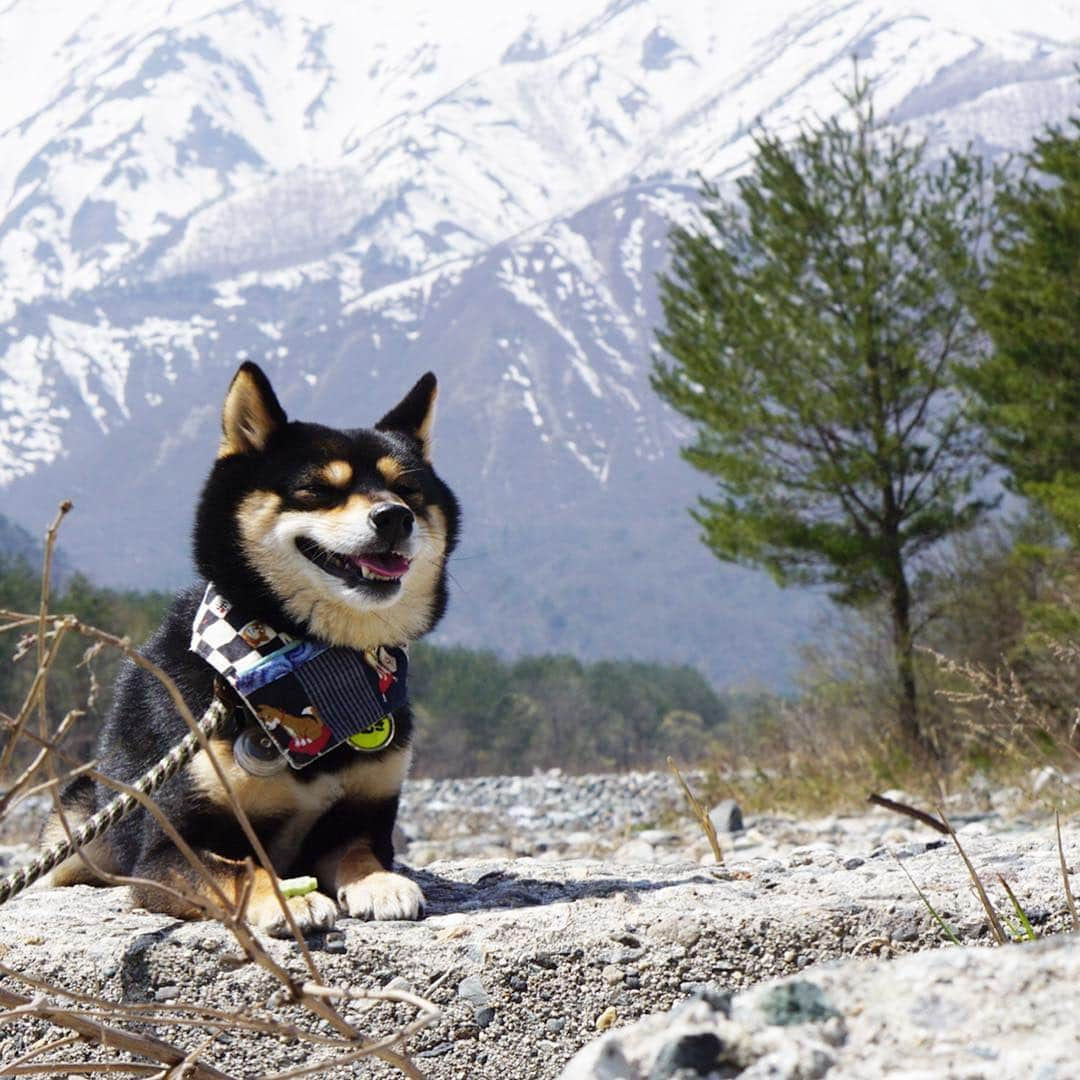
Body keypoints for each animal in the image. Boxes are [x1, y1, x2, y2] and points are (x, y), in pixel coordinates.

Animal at [43, 362, 460, 937]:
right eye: (316, 489)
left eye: (408, 489)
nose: (395, 516)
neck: (309, 668)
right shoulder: (168, 850)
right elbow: (240, 870)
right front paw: (284, 900)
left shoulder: (363, 813)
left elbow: (358, 850)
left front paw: (379, 882)